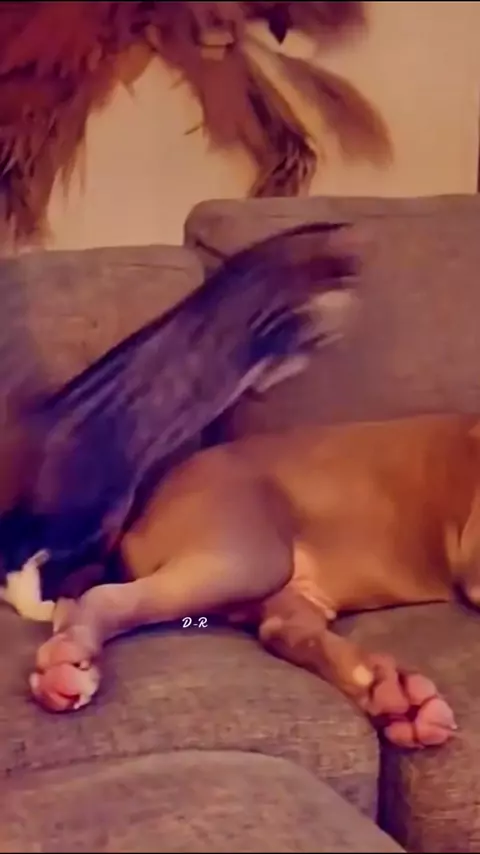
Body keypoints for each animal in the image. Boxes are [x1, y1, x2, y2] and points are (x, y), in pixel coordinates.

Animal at [27, 411, 480, 749]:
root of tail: (144, 508)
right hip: (246, 554)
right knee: (108, 598)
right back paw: (68, 660)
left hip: (277, 583)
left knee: (281, 629)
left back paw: (394, 696)